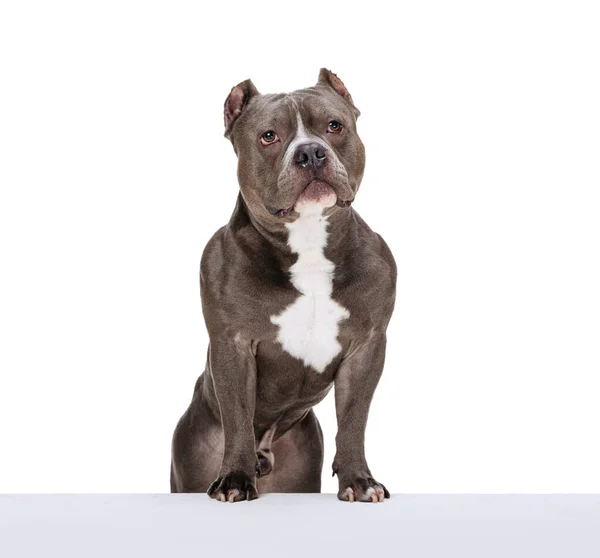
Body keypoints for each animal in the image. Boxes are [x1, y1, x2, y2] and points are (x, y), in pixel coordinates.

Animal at [169, 69, 396, 504]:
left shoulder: (366, 347)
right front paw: (235, 479)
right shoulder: (233, 345)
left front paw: (359, 480)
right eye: (269, 136)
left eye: (334, 126)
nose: (310, 153)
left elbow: (354, 419)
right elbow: (238, 415)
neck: (307, 240)